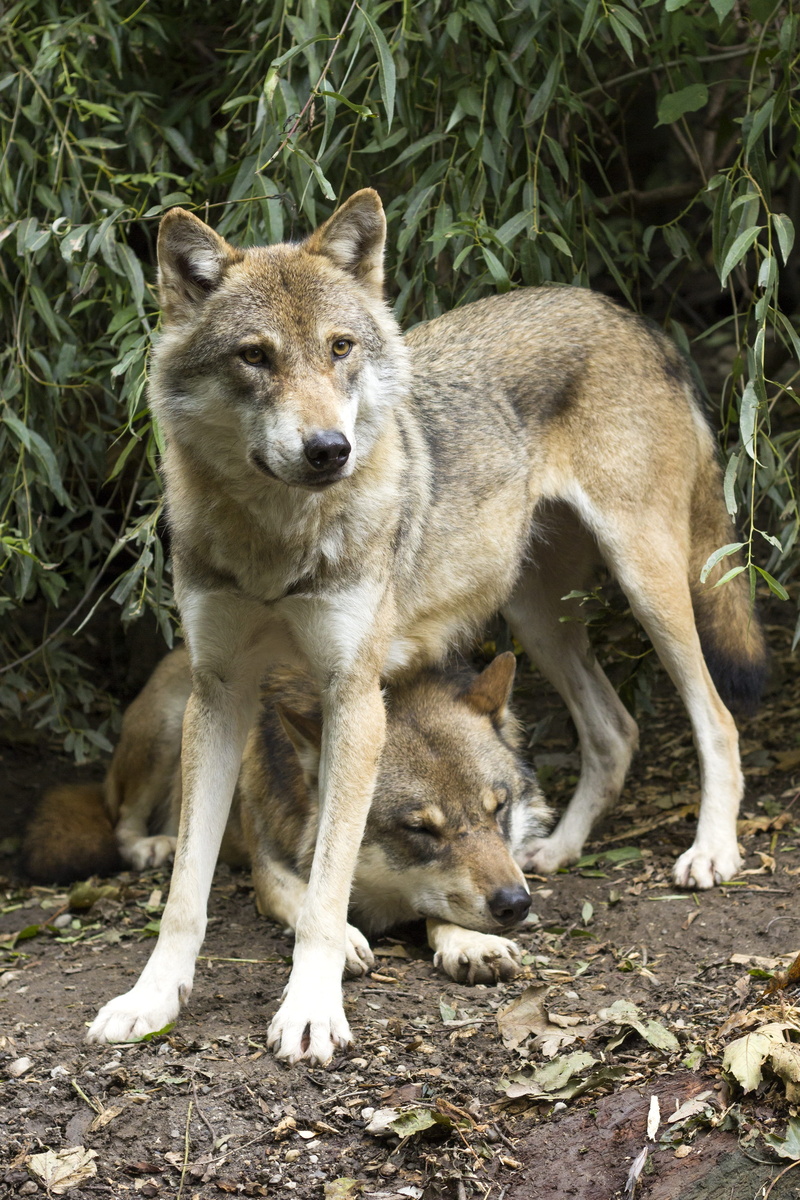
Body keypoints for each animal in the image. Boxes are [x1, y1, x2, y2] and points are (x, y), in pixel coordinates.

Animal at [27, 649, 545, 983]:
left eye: (499, 809)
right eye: (420, 829)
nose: (515, 904)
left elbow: (439, 907)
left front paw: (471, 943)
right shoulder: (269, 873)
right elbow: (306, 896)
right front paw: (344, 939)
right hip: (176, 730)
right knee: (122, 820)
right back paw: (151, 847)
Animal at [87, 189, 765, 1064]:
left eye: (340, 348)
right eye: (255, 357)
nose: (329, 449)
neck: (276, 539)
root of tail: (626, 313)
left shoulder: (355, 699)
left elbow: (330, 880)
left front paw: (312, 1010)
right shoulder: (220, 693)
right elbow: (188, 895)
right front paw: (150, 999)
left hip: (649, 584)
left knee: (715, 717)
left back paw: (710, 851)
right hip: (531, 619)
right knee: (615, 729)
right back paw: (556, 849)